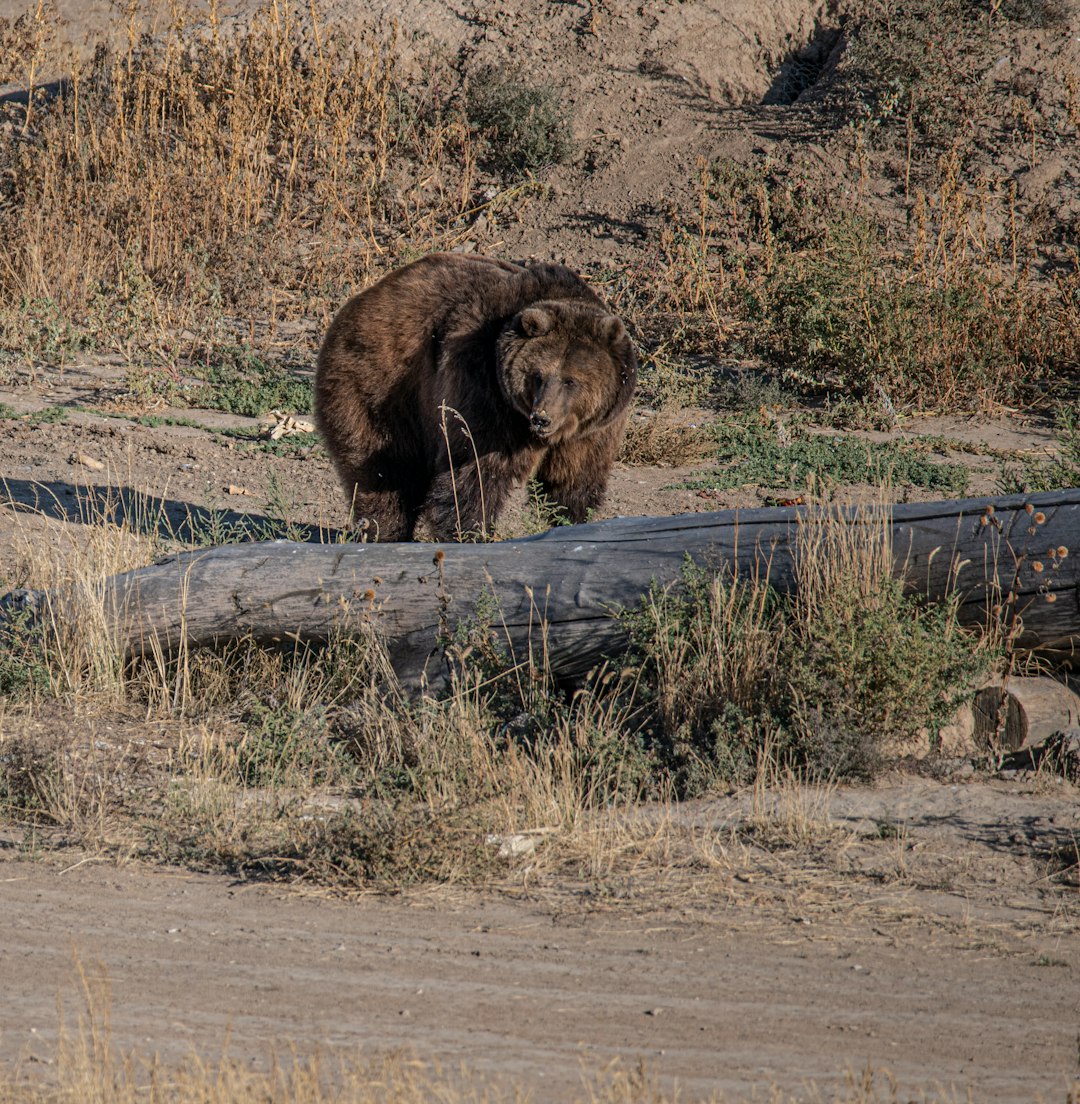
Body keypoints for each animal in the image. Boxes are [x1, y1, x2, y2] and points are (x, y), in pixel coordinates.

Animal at [311, 251, 636, 543]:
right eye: (538, 375)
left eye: (571, 381)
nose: (542, 418)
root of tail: (359, 300)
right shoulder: (482, 385)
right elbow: (475, 469)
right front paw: (469, 532)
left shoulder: (595, 429)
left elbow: (574, 477)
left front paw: (571, 519)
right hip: (378, 385)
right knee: (384, 470)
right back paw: (385, 531)